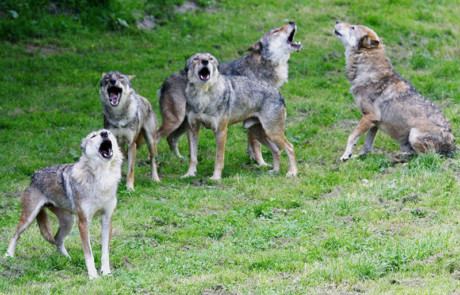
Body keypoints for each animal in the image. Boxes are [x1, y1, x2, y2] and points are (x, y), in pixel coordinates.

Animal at [5, 130, 124, 280]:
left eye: (108, 132)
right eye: (93, 136)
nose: (104, 133)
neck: (102, 179)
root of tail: (34, 175)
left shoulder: (107, 220)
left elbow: (105, 253)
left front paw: (106, 272)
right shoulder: (83, 222)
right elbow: (89, 253)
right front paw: (93, 275)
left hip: (69, 221)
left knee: (57, 239)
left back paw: (67, 258)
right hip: (29, 219)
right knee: (16, 234)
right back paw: (8, 256)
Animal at [156, 21, 304, 165]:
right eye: (275, 31)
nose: (292, 21)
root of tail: (164, 83)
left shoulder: (251, 119)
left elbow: (251, 144)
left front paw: (252, 159)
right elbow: (256, 145)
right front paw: (261, 163)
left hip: (184, 123)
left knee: (171, 138)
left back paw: (180, 159)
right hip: (175, 121)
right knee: (157, 136)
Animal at [332, 20, 454, 162]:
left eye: (352, 27)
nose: (337, 21)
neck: (367, 69)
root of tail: (453, 146)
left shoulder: (369, 116)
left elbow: (351, 136)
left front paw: (345, 155)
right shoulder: (374, 123)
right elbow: (367, 146)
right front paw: (357, 157)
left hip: (414, 135)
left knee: (427, 157)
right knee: (417, 155)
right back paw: (399, 156)